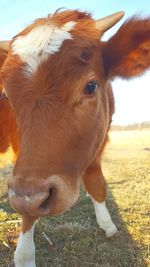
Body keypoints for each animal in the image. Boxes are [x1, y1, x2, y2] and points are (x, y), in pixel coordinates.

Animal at [0, 8, 149, 267]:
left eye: (90, 86)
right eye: (6, 95)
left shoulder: (98, 141)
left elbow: (97, 184)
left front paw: (108, 226)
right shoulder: (24, 173)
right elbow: (29, 209)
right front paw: (25, 256)